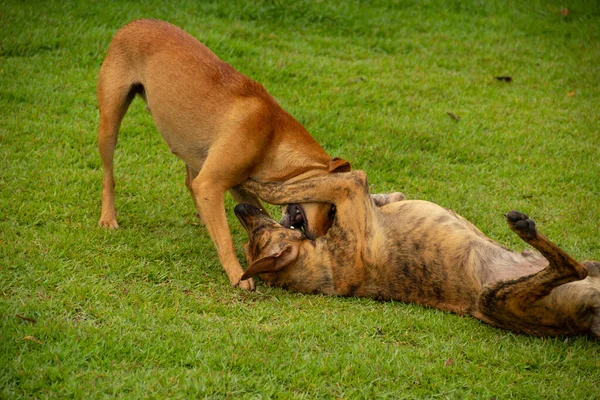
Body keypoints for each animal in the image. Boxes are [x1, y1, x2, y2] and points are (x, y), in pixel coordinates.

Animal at [97, 18, 352, 290]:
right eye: (332, 210)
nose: (318, 239)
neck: (272, 135)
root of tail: (134, 23)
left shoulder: (239, 187)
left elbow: (257, 215)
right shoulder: (211, 184)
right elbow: (226, 238)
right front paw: (237, 274)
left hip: (191, 147)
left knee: (189, 181)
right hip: (110, 125)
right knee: (109, 177)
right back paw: (108, 218)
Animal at [234, 172, 600, 338]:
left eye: (254, 236)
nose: (238, 208)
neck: (323, 264)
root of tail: (588, 323)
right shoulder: (352, 187)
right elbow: (284, 187)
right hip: (496, 299)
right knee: (571, 268)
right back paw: (524, 226)